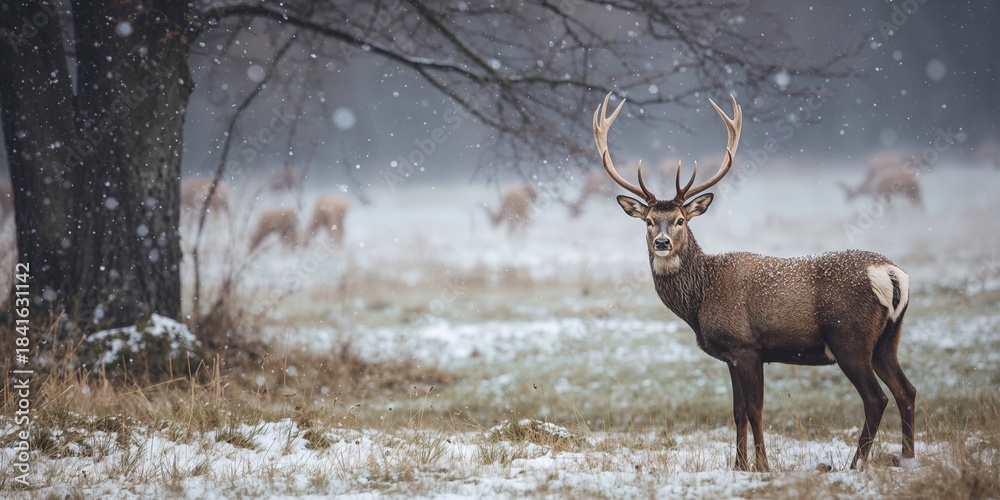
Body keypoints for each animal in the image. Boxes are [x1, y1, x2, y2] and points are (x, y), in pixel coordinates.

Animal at [593, 93, 916, 472]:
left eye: (681, 220)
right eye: (647, 221)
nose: (661, 243)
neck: (701, 297)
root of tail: (891, 273)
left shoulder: (746, 345)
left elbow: (755, 409)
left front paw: (762, 465)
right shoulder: (731, 354)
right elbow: (737, 412)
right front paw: (739, 465)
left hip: (849, 337)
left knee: (876, 398)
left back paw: (856, 464)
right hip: (888, 338)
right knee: (906, 390)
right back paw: (907, 458)